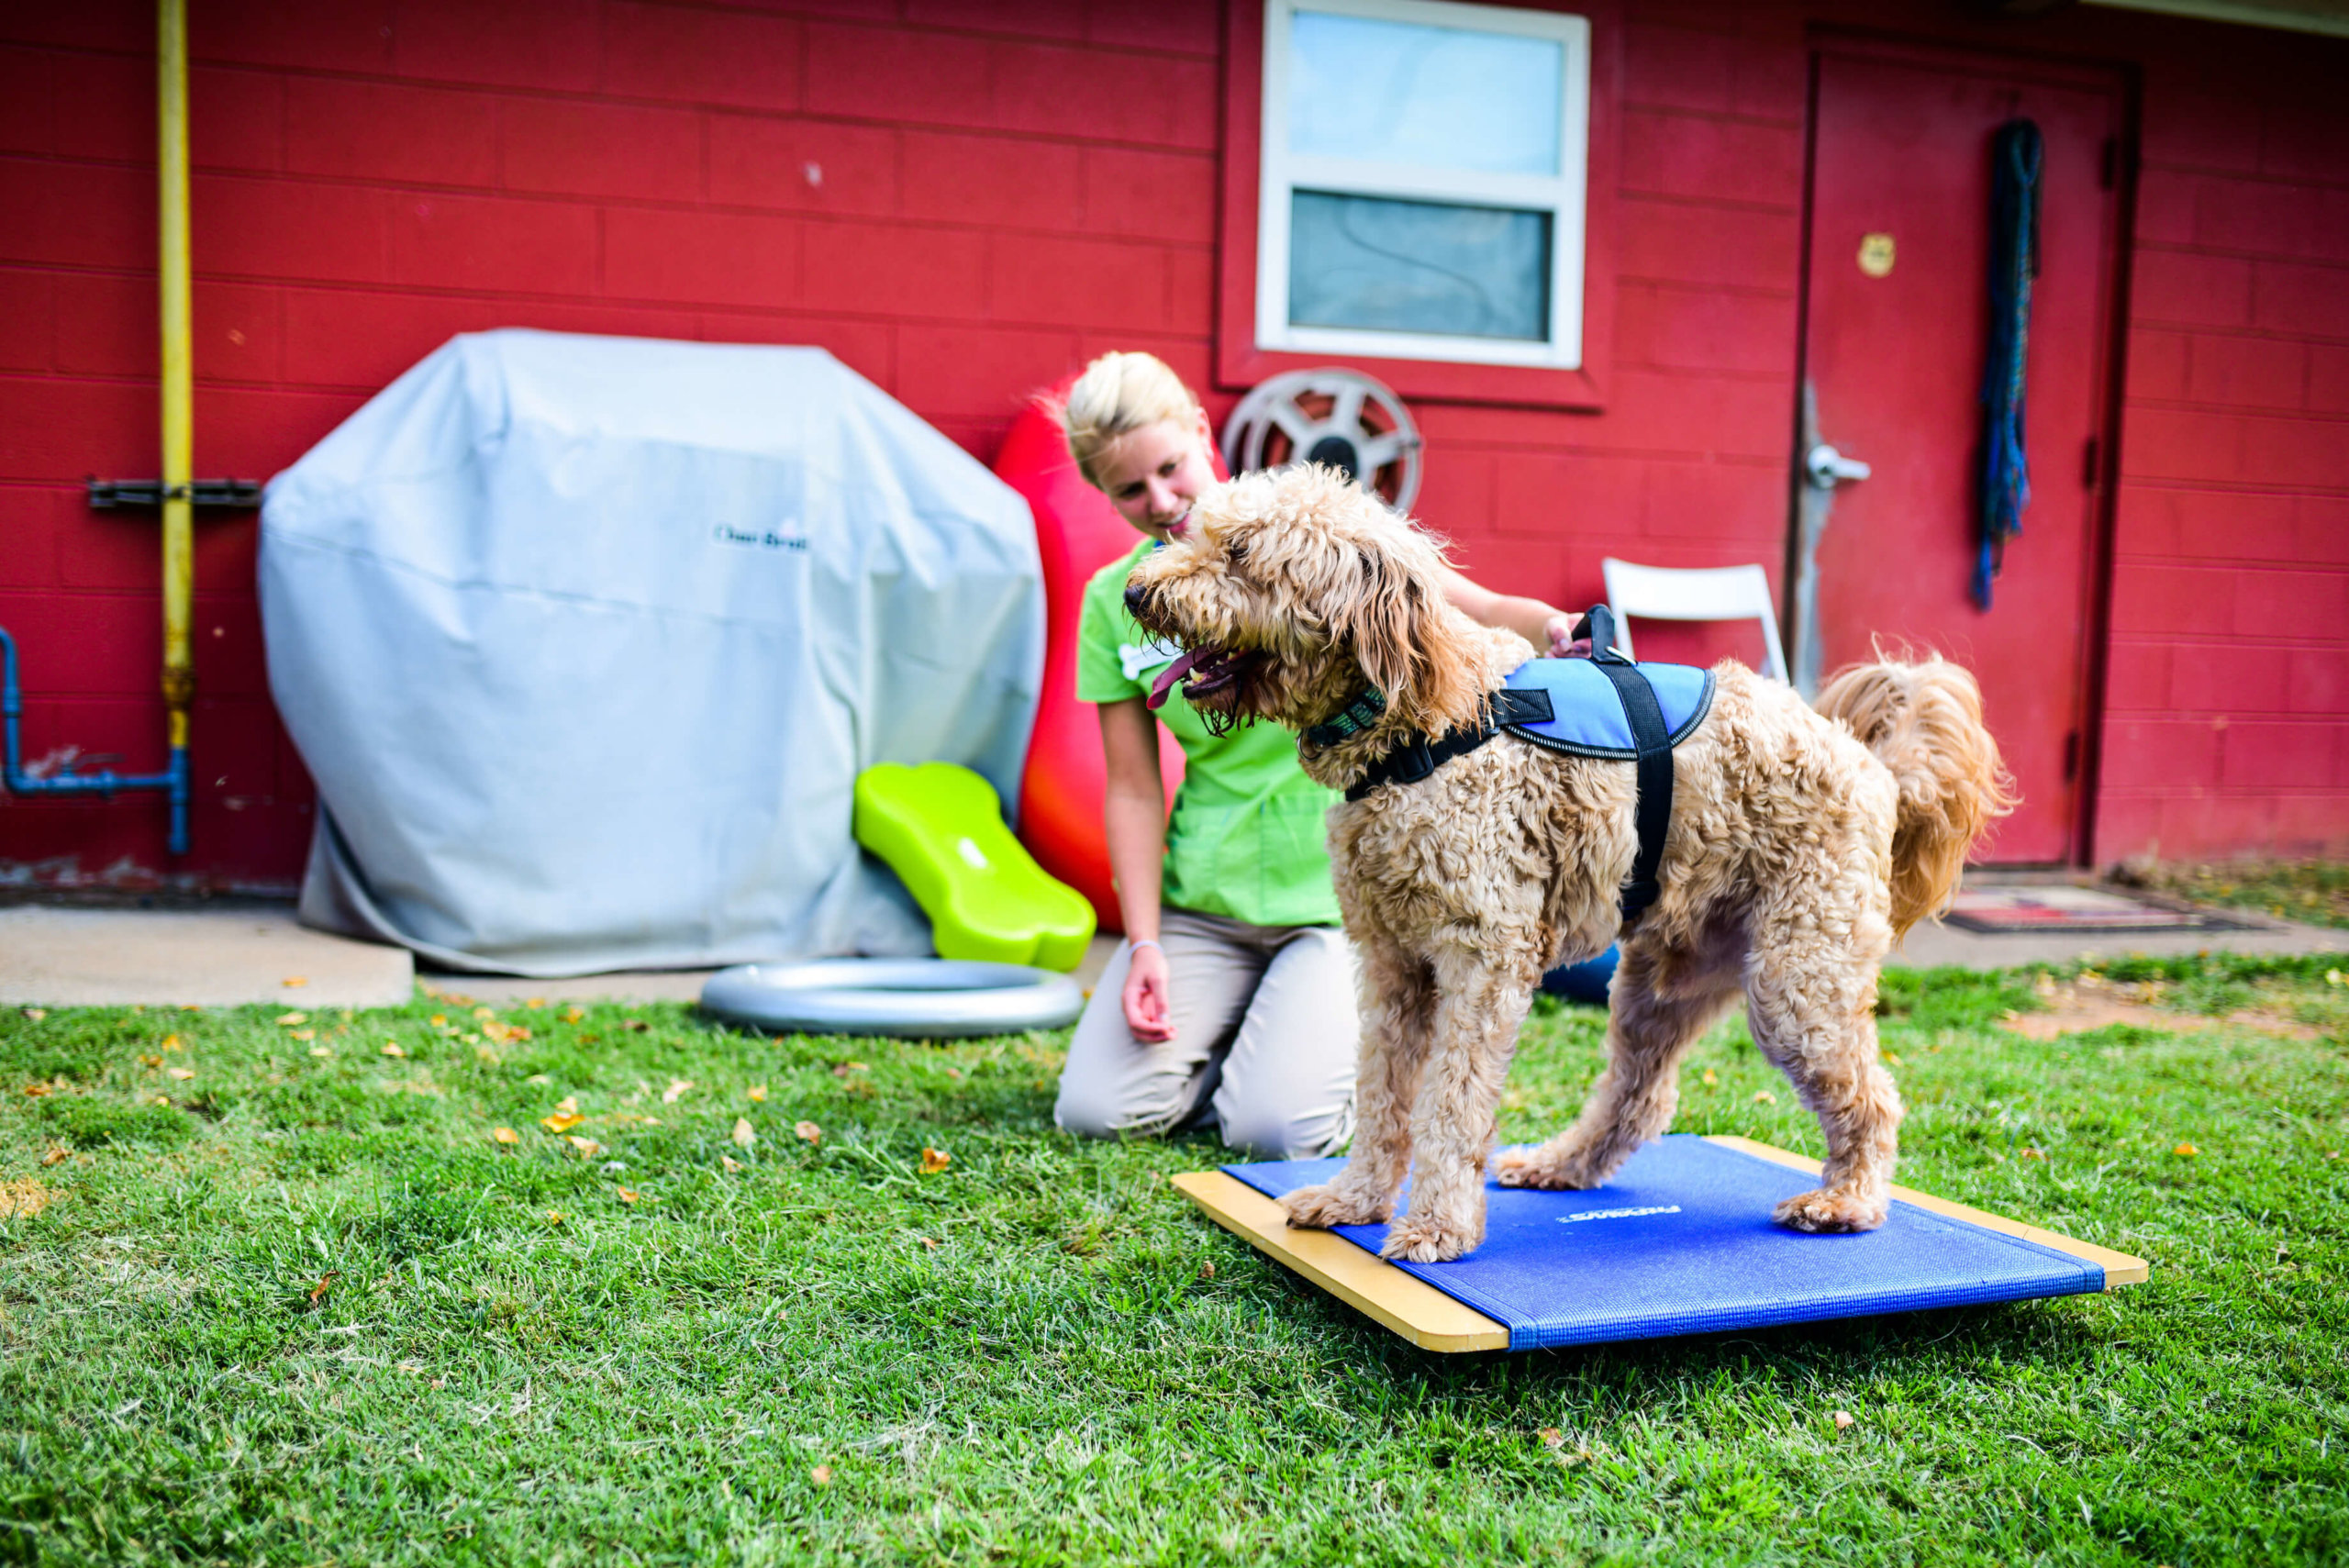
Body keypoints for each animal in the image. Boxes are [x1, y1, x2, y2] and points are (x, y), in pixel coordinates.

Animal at [1127, 464, 2010, 1258]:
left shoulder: (1481, 961)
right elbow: (1383, 1096)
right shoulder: (1392, 967)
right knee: (1641, 1096)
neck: (1415, 726)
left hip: (1797, 977)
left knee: (1872, 1097)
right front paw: (1356, 1199)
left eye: (1241, 552)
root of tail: (1874, 766)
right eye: (1192, 531)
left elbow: (1450, 1104)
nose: (1137, 591)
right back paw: (1561, 1164)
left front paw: (1435, 1228)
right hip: (1665, 979)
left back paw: (1847, 1199)